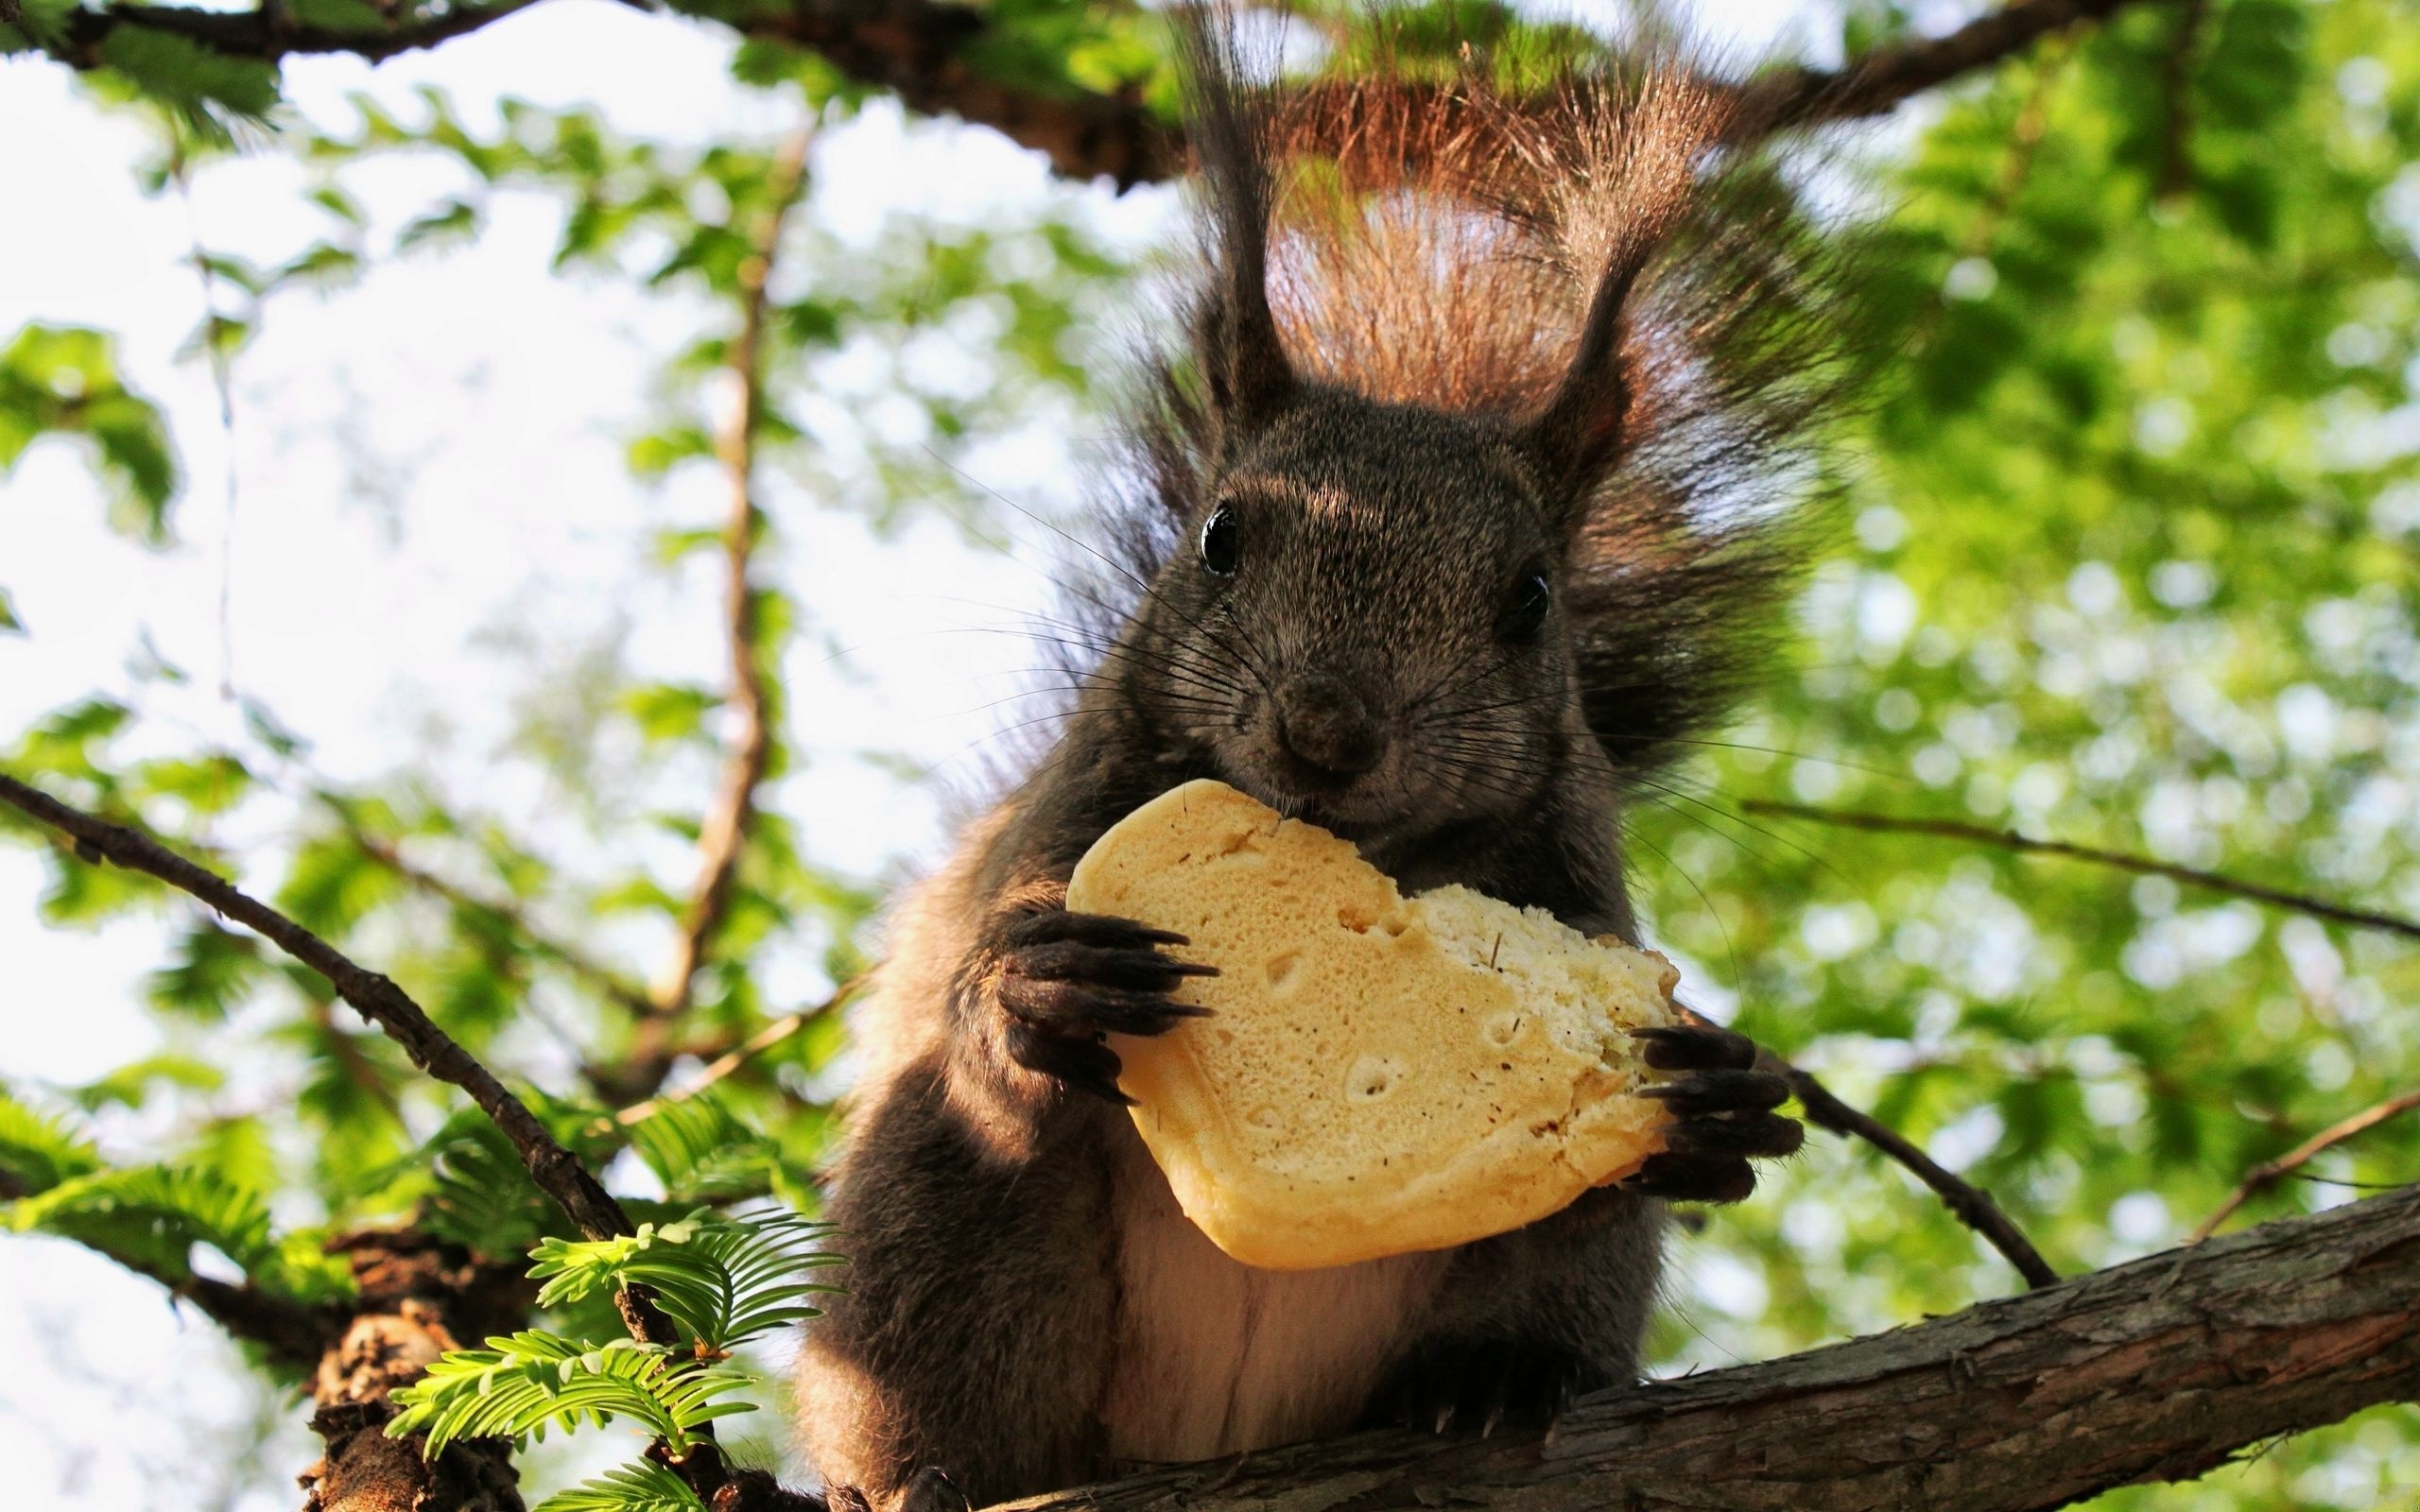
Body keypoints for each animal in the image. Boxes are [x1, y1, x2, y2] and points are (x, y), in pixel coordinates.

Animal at [793, 17, 1829, 1500]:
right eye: (1220, 536)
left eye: (1533, 600)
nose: (1329, 732)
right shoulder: (1065, 818)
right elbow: (982, 966)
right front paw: (1034, 980)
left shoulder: (1580, 885)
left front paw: (1725, 1099)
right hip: (934, 1228)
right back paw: (913, 1468)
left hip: (1556, 1267)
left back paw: (1494, 1380)